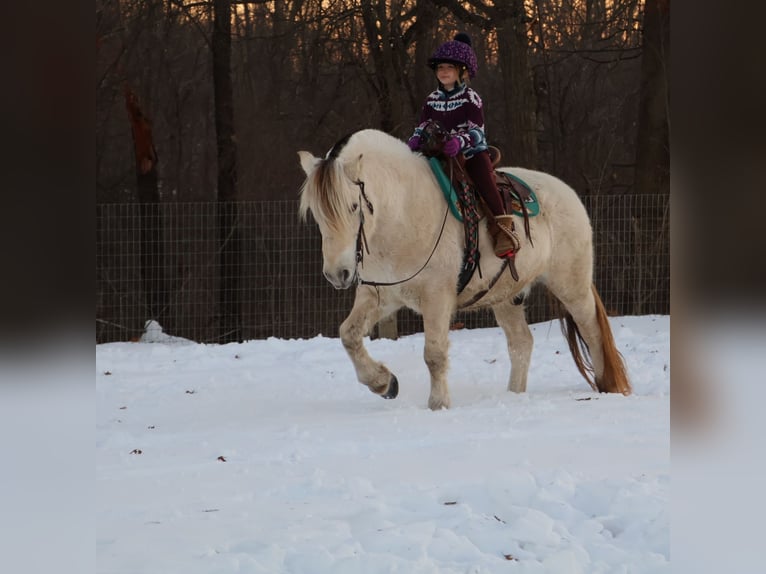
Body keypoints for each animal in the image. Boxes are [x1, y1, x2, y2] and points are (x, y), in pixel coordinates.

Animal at [298, 129, 630, 410]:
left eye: (353, 207)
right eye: (316, 212)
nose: (337, 274)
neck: (403, 209)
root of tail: (569, 194)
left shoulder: (437, 297)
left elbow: (434, 353)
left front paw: (438, 404)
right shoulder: (380, 295)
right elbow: (349, 335)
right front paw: (384, 383)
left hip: (571, 285)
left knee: (591, 330)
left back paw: (607, 386)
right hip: (506, 296)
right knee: (521, 343)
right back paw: (513, 395)